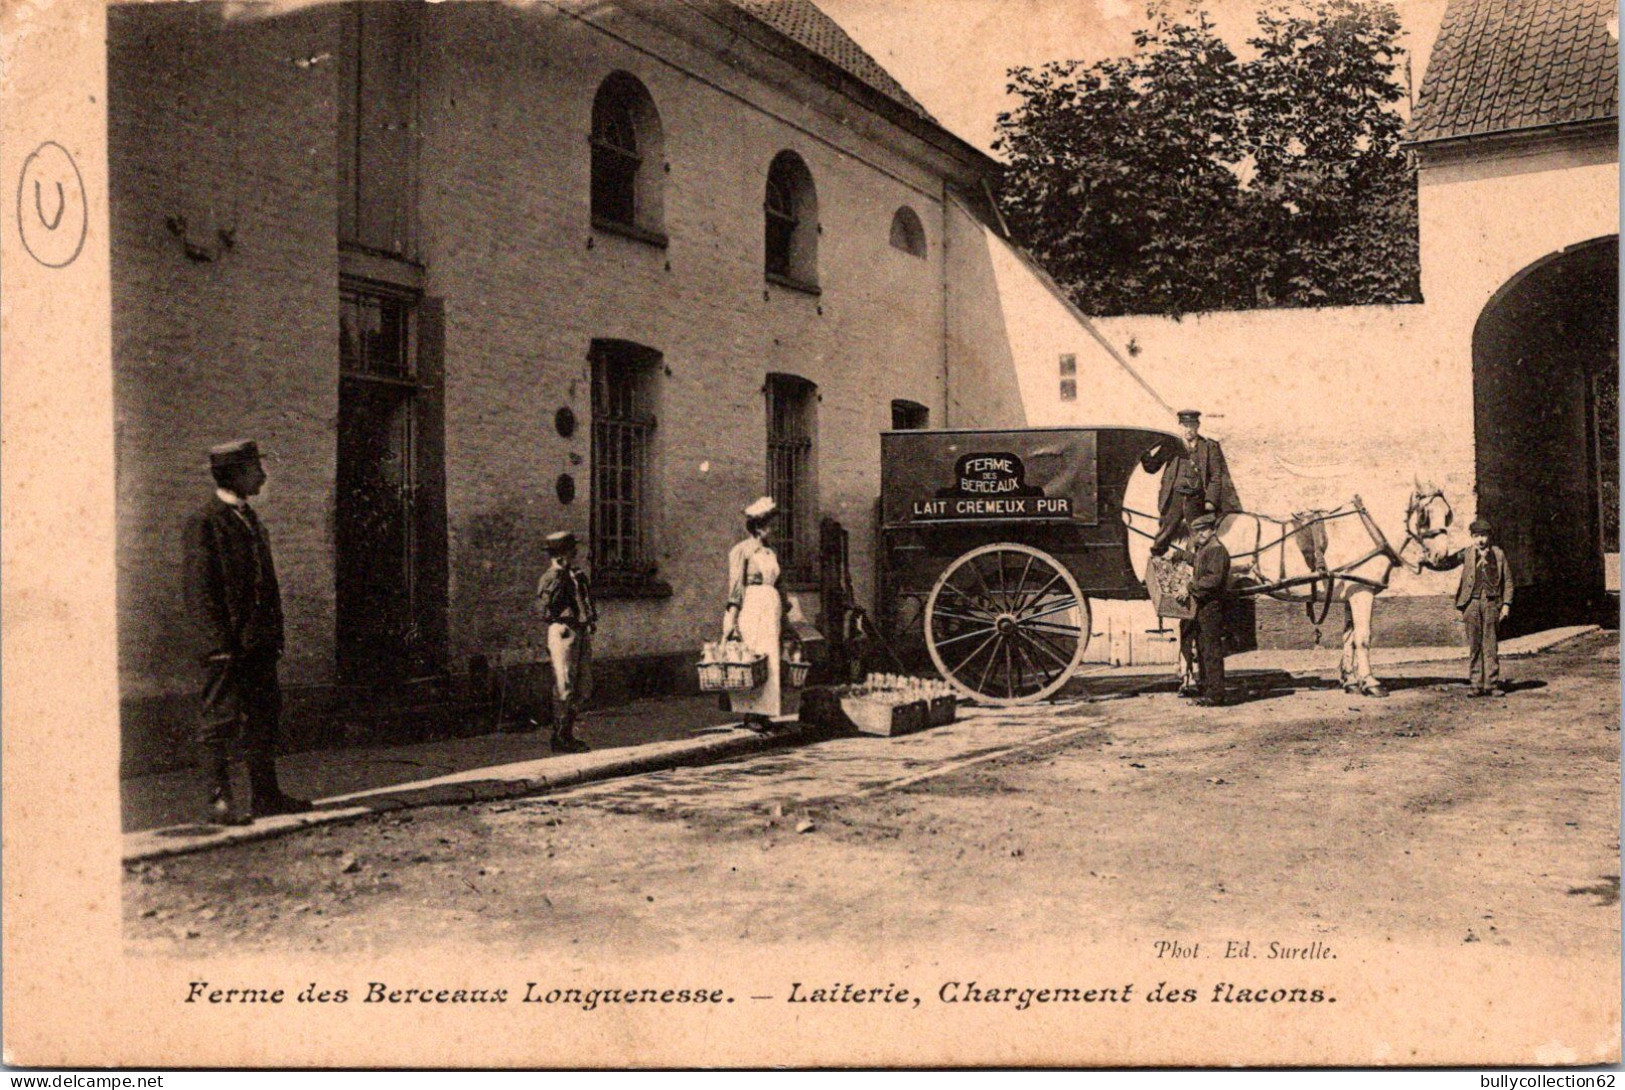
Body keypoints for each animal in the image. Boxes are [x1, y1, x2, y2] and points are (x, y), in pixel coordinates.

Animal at [1124, 484, 1456, 698]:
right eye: (1425, 515)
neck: (1366, 528)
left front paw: (1349, 680)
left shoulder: (1353, 591)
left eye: (1448, 515)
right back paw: (1187, 681)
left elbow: (1348, 638)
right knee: (1188, 629)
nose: (1441, 556)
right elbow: (1363, 638)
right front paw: (1371, 682)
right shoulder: (1362, 593)